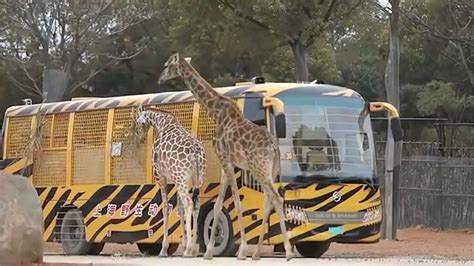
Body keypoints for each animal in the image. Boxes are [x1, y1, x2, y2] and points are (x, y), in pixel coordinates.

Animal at [133, 106, 207, 258]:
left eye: (137, 122)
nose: (139, 138)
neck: (162, 124)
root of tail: (196, 153)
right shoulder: (176, 180)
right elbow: (179, 209)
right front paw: (183, 244)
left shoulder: (161, 176)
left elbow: (165, 208)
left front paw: (164, 249)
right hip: (196, 179)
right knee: (196, 205)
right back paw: (193, 249)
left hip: (182, 178)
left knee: (189, 204)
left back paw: (189, 250)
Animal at [157, 52, 294, 260]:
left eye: (167, 65)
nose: (159, 79)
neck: (216, 111)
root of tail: (274, 147)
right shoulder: (226, 163)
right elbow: (219, 204)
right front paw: (209, 252)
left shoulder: (225, 159)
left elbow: (236, 203)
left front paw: (240, 250)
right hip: (270, 170)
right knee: (268, 201)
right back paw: (256, 254)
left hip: (259, 168)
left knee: (276, 198)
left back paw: (287, 252)